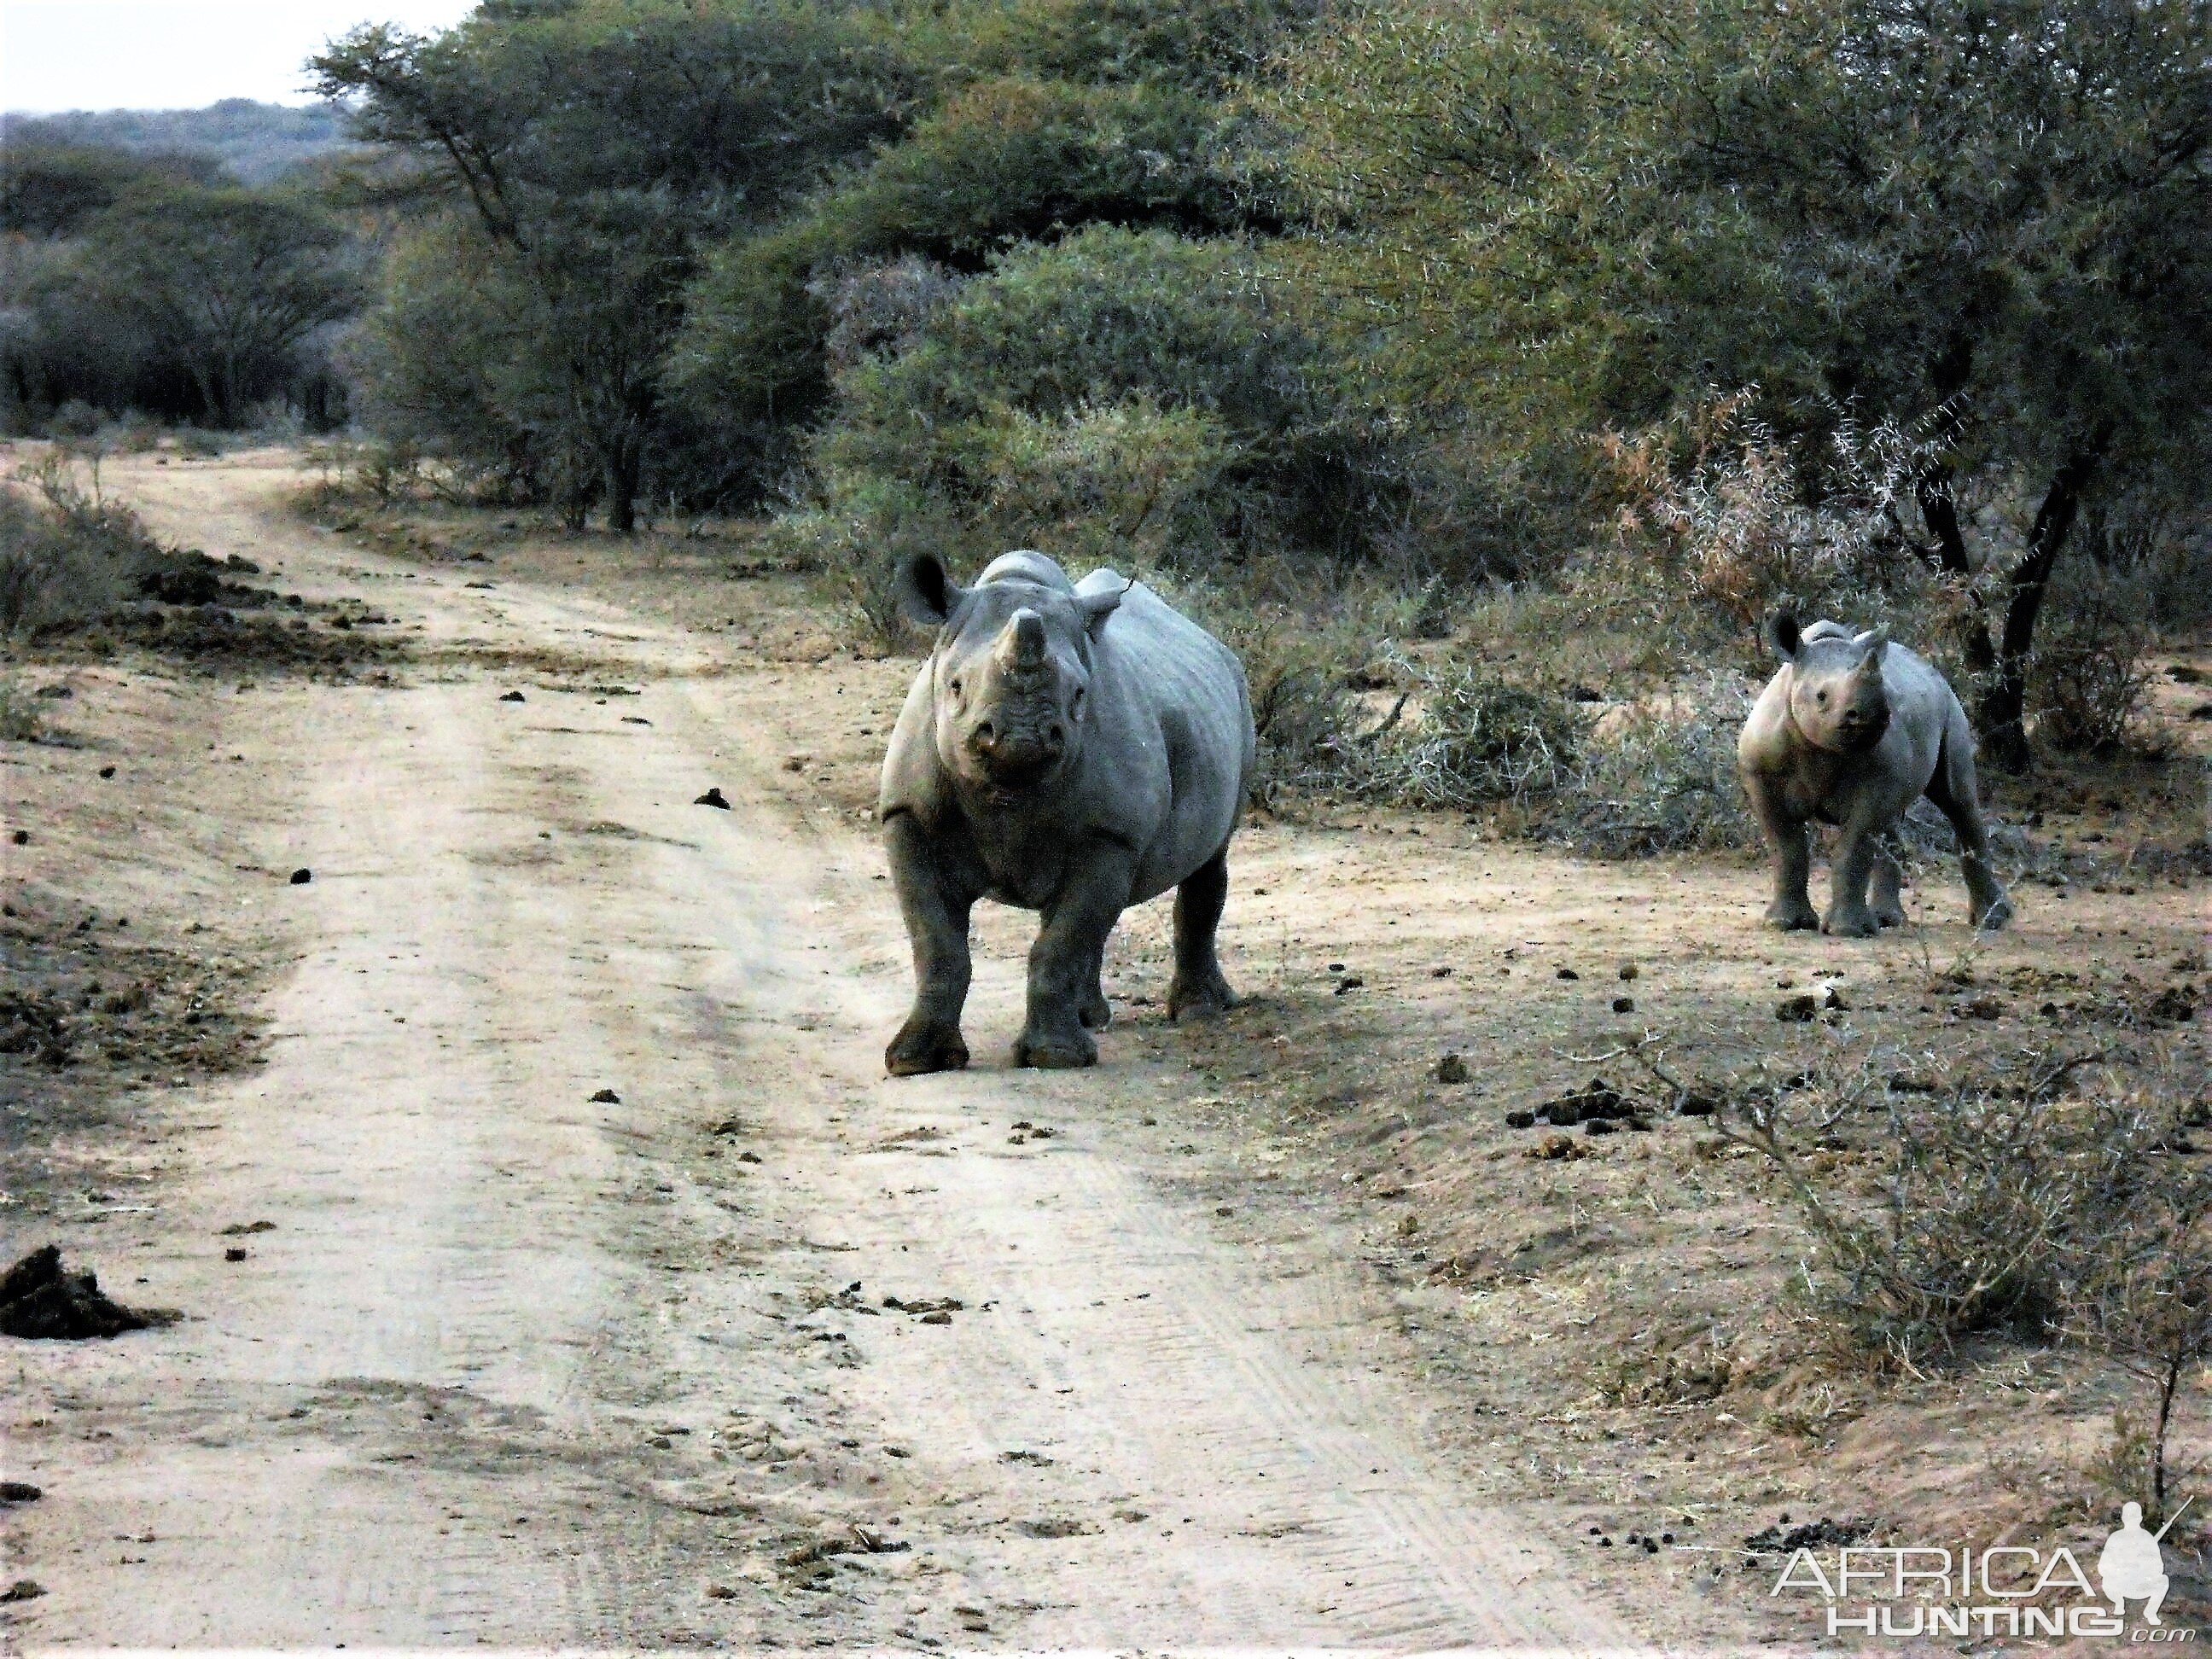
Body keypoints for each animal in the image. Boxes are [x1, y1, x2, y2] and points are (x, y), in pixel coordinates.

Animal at [880, 555, 1265, 1079]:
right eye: (954, 687)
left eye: (1080, 694)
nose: (1021, 737)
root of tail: (1214, 643)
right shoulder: (908, 817)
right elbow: (936, 943)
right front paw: (916, 1061)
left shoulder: (1111, 833)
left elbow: (1064, 940)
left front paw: (1055, 1058)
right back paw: (1092, 1017)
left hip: (1239, 701)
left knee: (1208, 860)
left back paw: (1199, 1010)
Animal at [1734, 614, 2017, 946]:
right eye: (1820, 696)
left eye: (1883, 693)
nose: (1874, 716)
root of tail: (1930, 669)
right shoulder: (1762, 777)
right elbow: (1787, 849)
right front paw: (1786, 924)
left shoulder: (1876, 782)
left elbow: (1853, 848)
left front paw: (1848, 931)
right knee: (1897, 821)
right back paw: (1889, 920)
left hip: (1950, 708)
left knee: (1957, 801)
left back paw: (1991, 921)